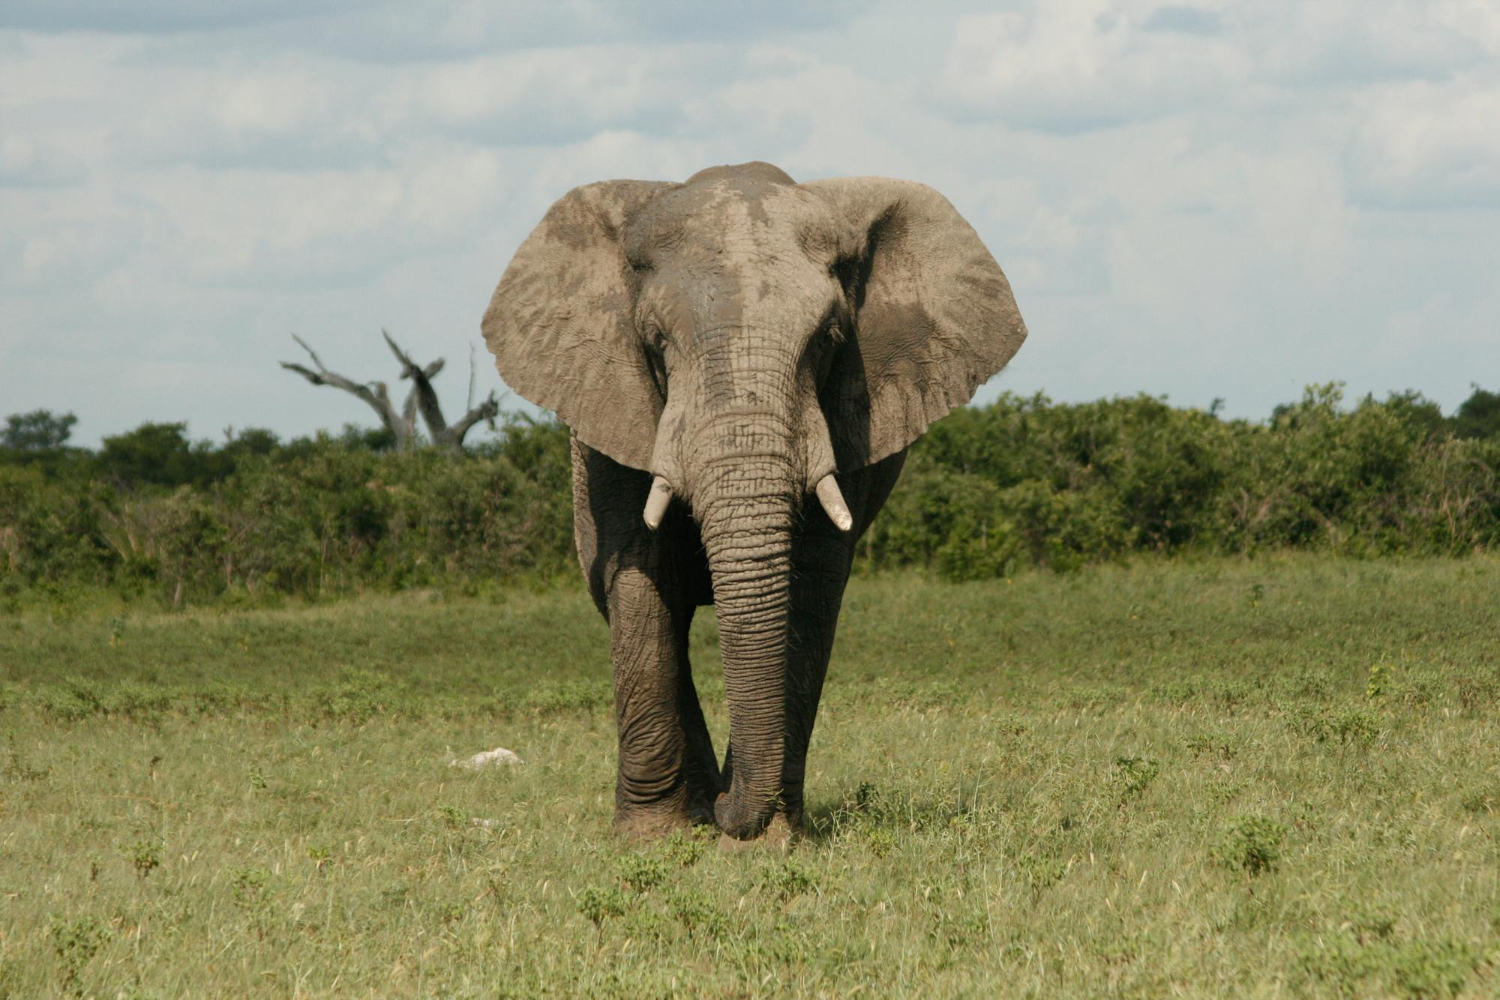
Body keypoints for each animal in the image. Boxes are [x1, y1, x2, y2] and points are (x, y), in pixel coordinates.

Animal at [482, 161, 1026, 843]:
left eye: (828, 340)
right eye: (656, 342)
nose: (726, 811)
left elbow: (809, 587)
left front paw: (767, 842)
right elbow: (641, 576)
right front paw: (651, 840)